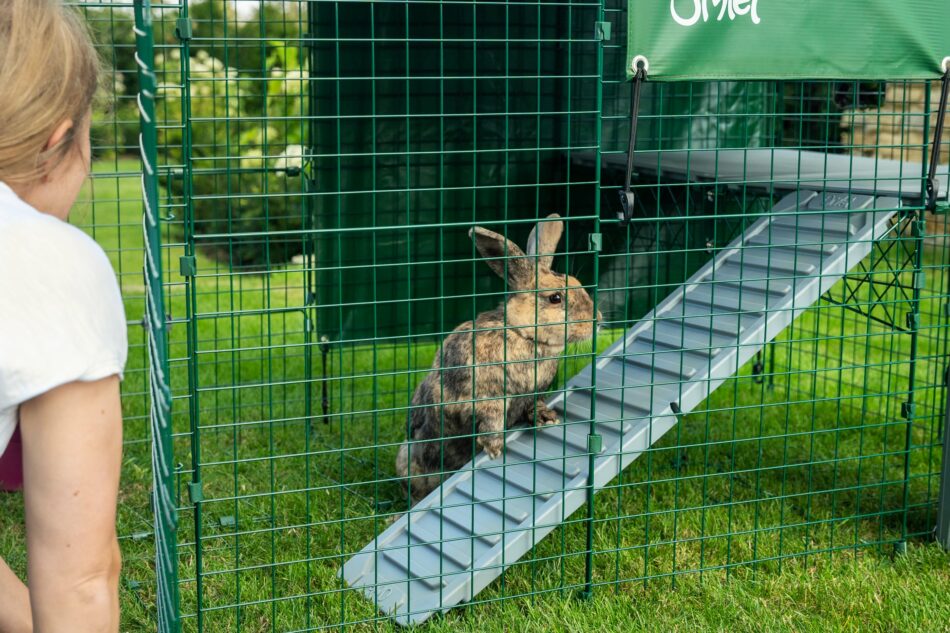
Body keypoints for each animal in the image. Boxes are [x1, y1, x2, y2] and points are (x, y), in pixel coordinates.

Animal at [396, 212, 604, 504]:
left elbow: (534, 405)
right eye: (555, 298)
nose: (597, 320)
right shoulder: (485, 398)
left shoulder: (533, 394)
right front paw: (495, 449)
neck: (523, 334)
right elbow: (490, 421)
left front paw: (547, 418)